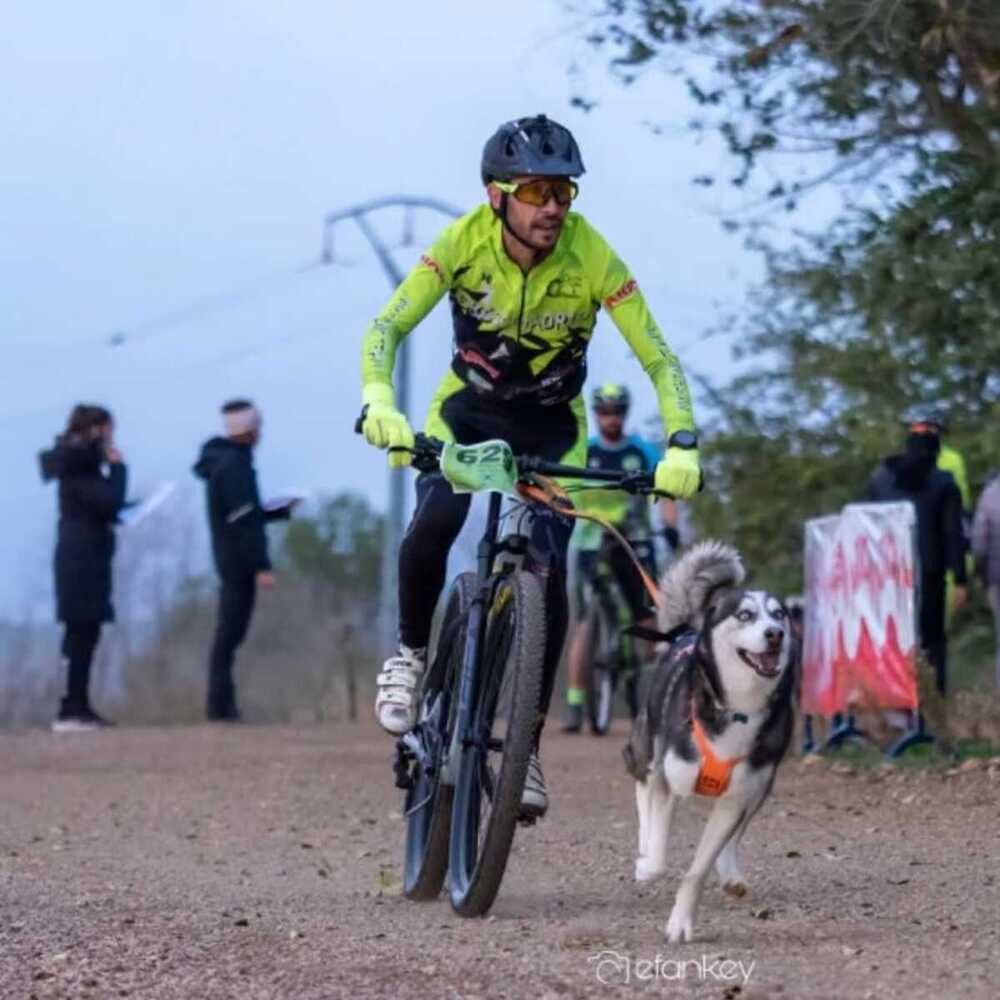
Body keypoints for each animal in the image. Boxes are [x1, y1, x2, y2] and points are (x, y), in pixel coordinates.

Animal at [624, 544, 796, 940]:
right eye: (745, 615)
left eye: (779, 614)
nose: (775, 633)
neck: (737, 709)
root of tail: (685, 633)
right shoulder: (669, 780)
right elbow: (658, 852)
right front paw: (647, 863)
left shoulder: (738, 795)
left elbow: (699, 868)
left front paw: (682, 921)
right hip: (647, 746)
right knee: (642, 784)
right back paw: (644, 843)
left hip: (762, 785)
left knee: (734, 836)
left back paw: (730, 873)